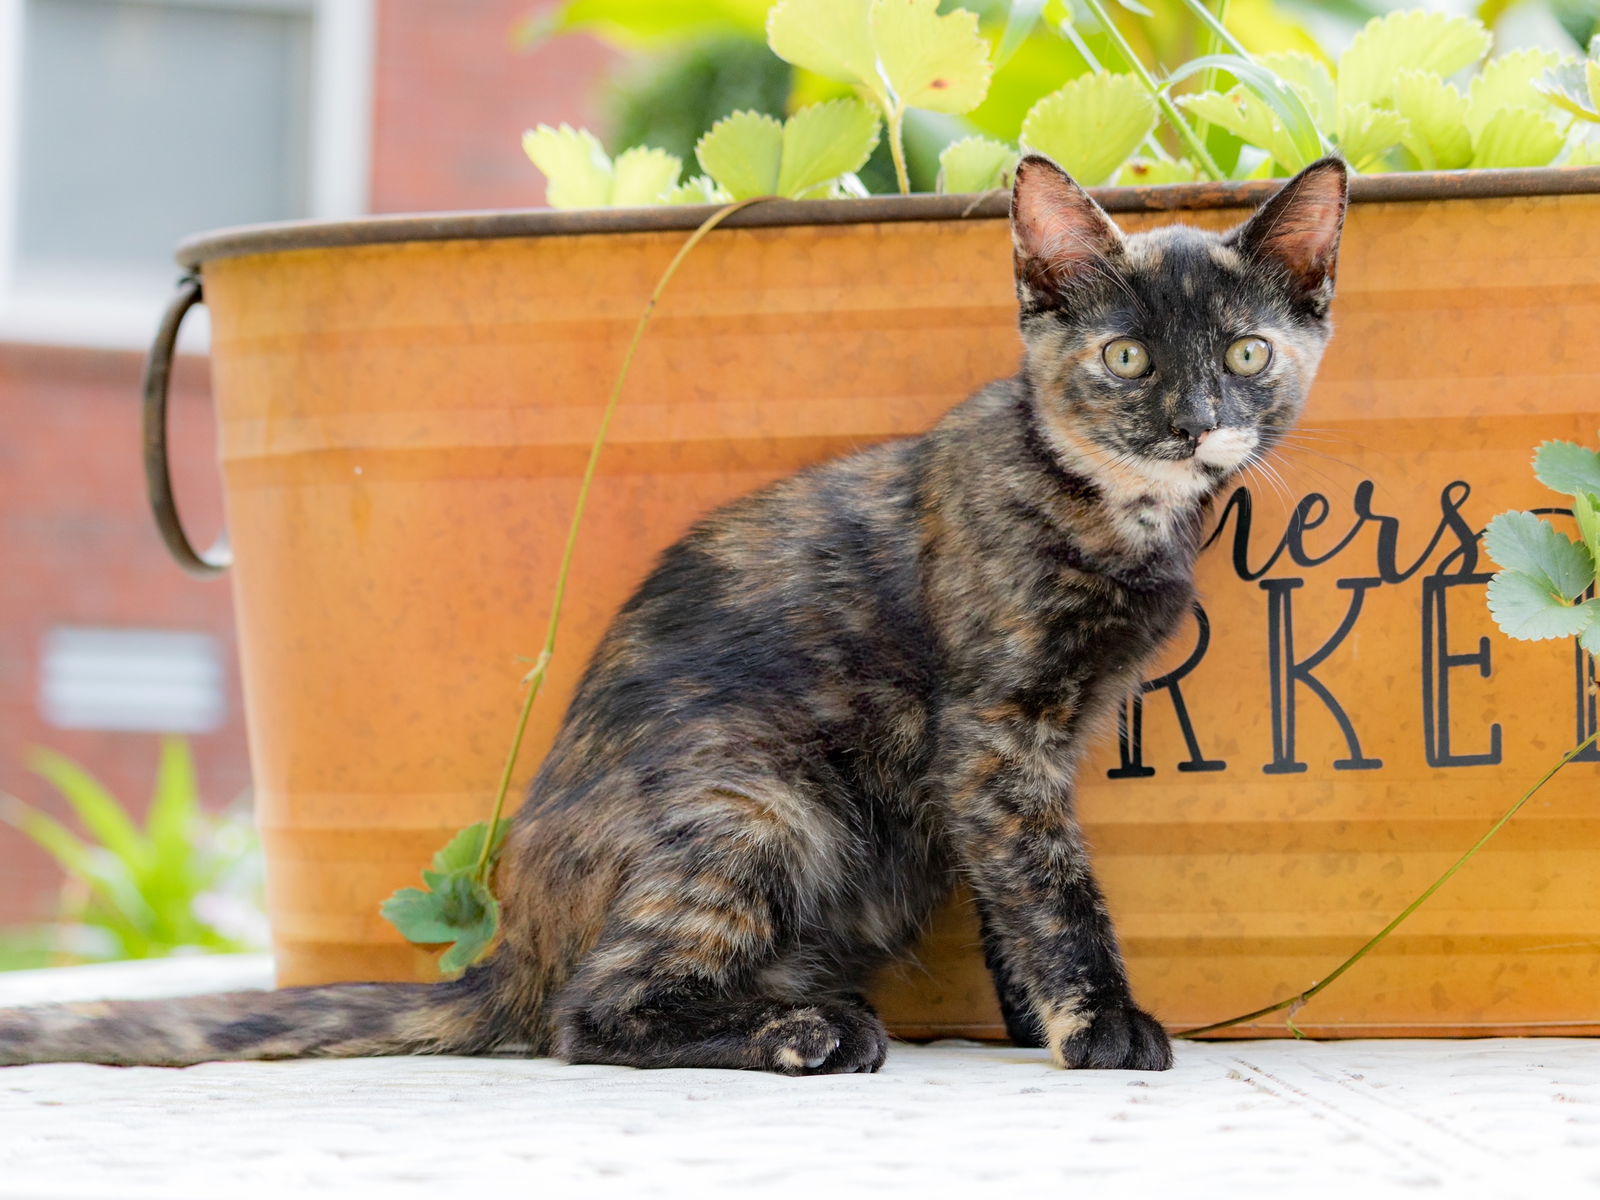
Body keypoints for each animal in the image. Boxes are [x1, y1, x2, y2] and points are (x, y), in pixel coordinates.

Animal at [0, 152, 1350, 1081]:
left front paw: (1031, 1023)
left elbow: (1003, 887)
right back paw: (809, 1033)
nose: (1192, 421)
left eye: (1244, 354)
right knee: (588, 1017)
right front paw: (1096, 1025)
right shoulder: (995, 734)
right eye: (1125, 359)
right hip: (752, 804)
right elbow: (1050, 885)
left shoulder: (1006, 761)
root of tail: (515, 946)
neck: (1108, 505)